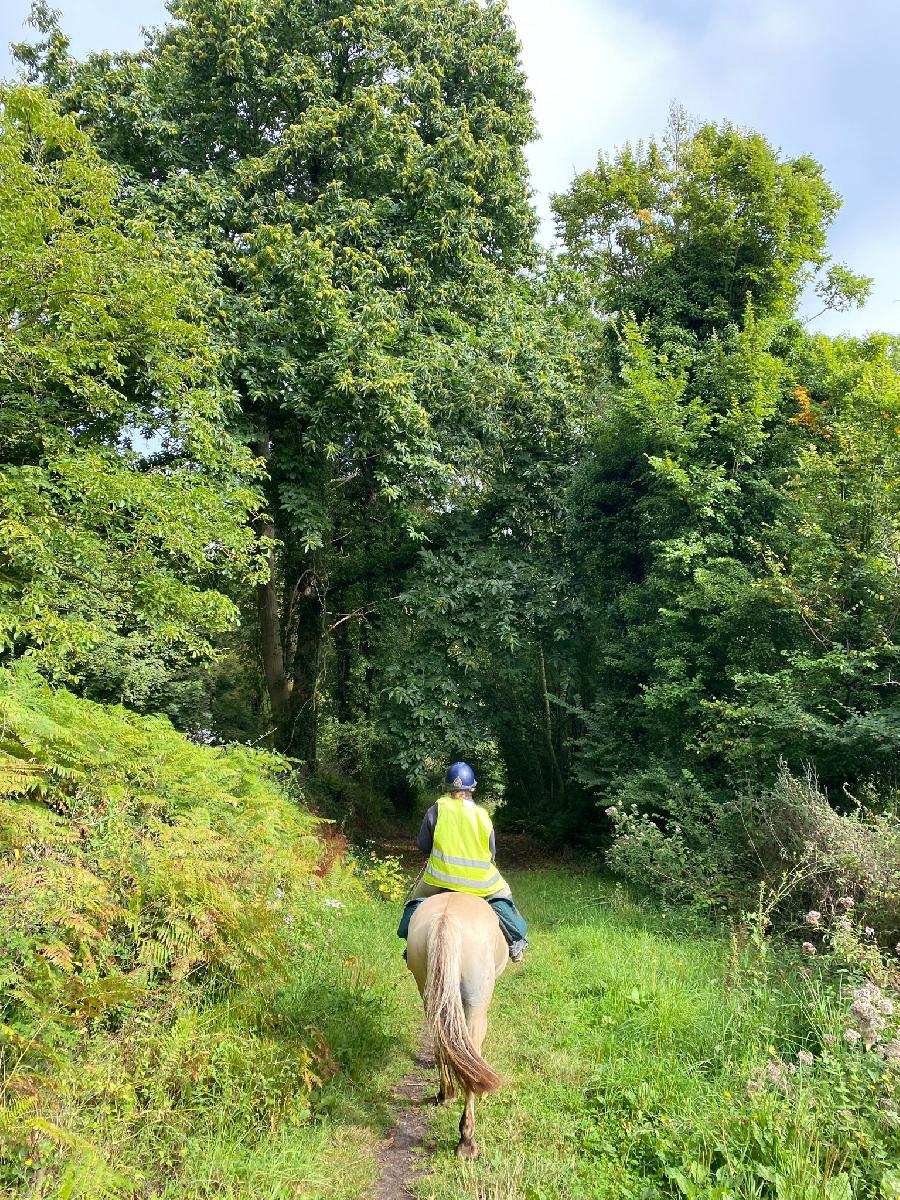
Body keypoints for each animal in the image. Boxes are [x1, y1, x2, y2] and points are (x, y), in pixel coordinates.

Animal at [408, 897, 508, 1156]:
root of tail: (447, 920)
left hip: (429, 991)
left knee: (440, 1042)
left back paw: (445, 1093)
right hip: (476, 1004)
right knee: (471, 1060)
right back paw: (467, 1141)